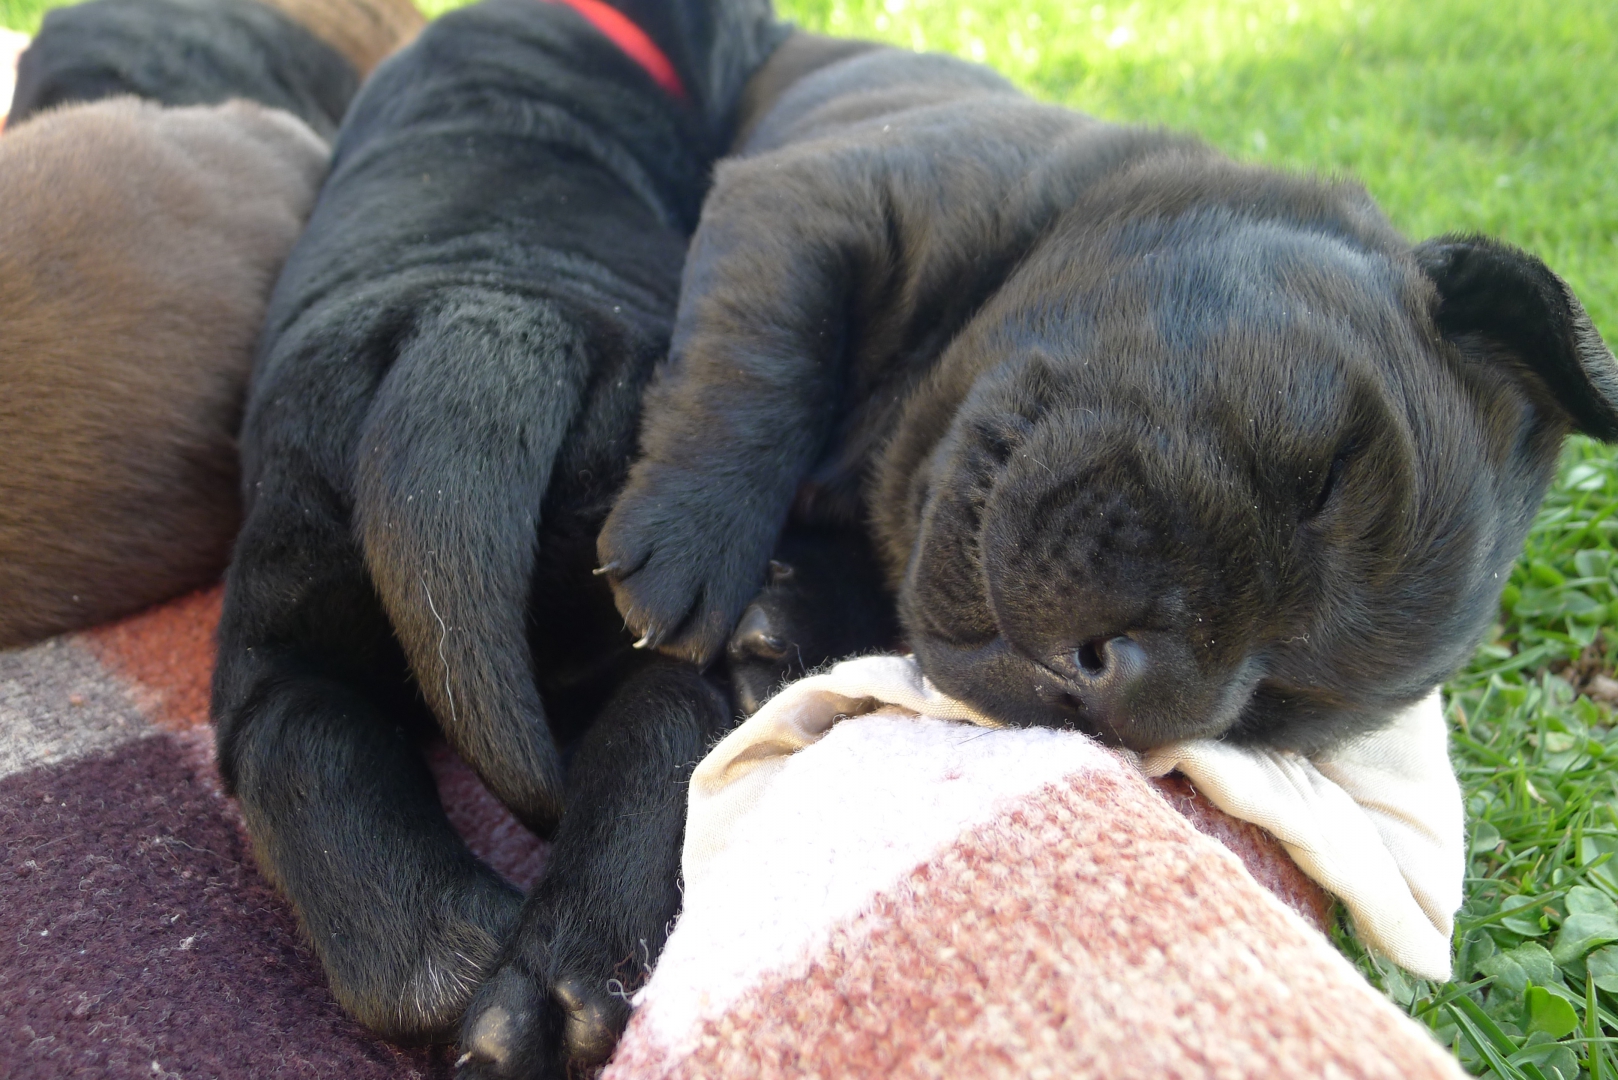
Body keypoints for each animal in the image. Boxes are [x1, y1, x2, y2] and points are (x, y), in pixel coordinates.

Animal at [210, 1, 782, 1075]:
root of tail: (483, 321)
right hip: (633, 582)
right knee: (666, 715)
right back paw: (562, 987)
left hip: (291, 588)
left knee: (299, 734)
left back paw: (458, 962)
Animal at [599, 34, 1618, 756]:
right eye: (1326, 475)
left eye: (1273, 706)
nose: (1127, 683)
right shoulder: (813, 198)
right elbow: (766, 359)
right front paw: (694, 536)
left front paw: (796, 618)